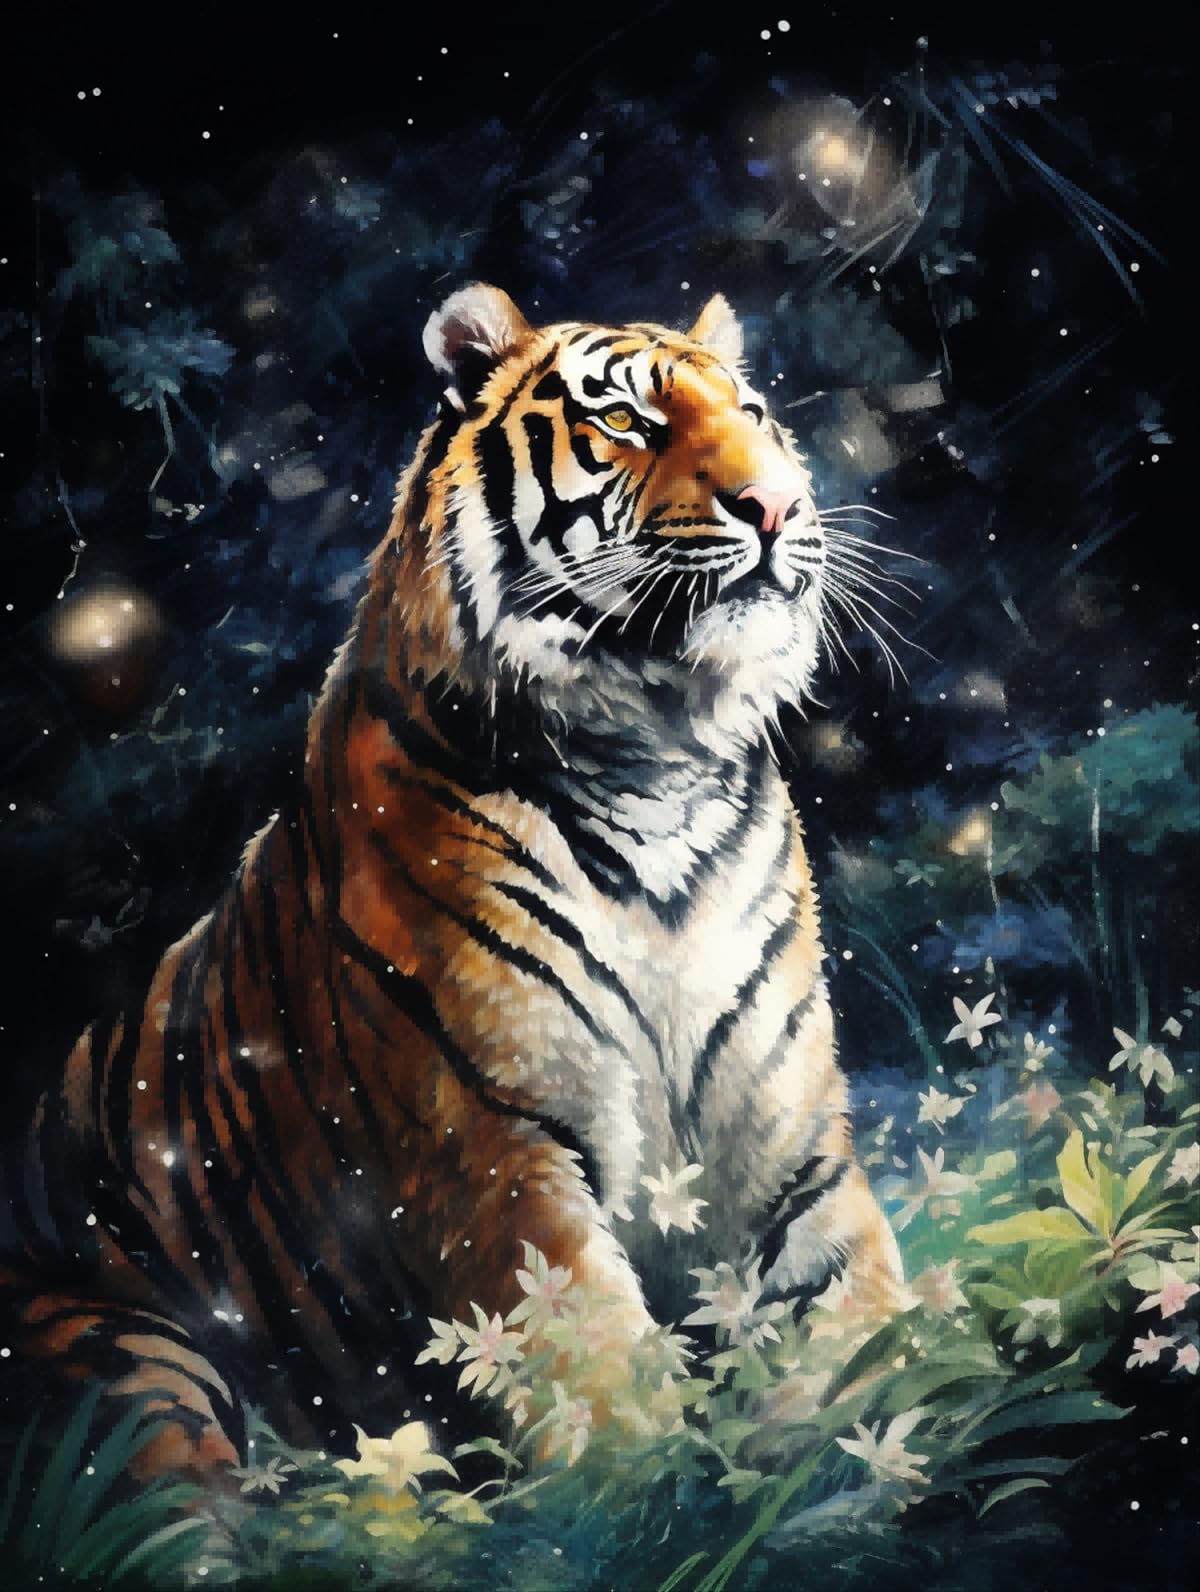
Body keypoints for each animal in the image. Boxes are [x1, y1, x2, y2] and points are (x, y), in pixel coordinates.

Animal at [0, 283, 907, 1480]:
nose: (780, 503)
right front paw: (667, 1492)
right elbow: (605, 1396)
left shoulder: (794, 1154)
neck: (658, 764)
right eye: (628, 421)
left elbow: (873, 1342)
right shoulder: (498, 1154)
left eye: (756, 414)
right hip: (142, 1364)